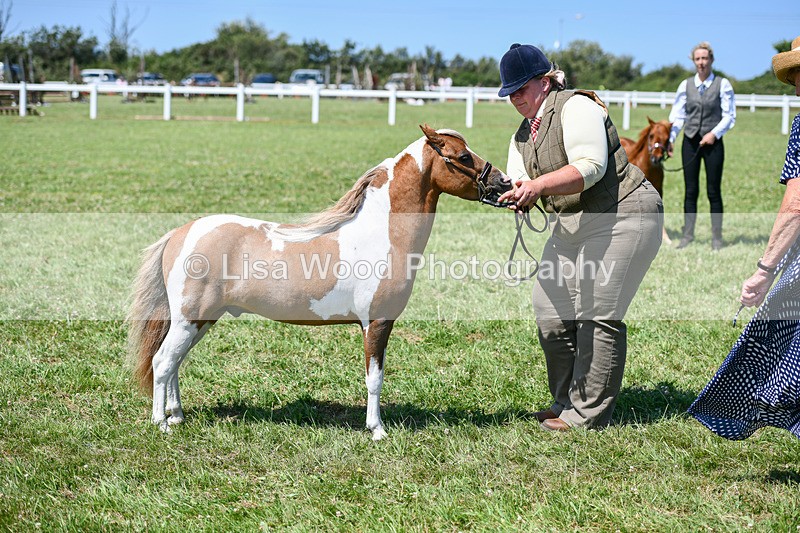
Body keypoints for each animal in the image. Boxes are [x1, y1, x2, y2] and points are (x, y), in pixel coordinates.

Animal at [127, 124, 513, 441]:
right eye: (463, 156)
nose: (505, 183)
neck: (381, 233)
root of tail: (180, 234)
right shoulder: (376, 323)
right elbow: (374, 379)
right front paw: (377, 430)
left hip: (201, 321)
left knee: (174, 364)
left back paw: (177, 415)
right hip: (189, 321)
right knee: (163, 362)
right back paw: (161, 423)